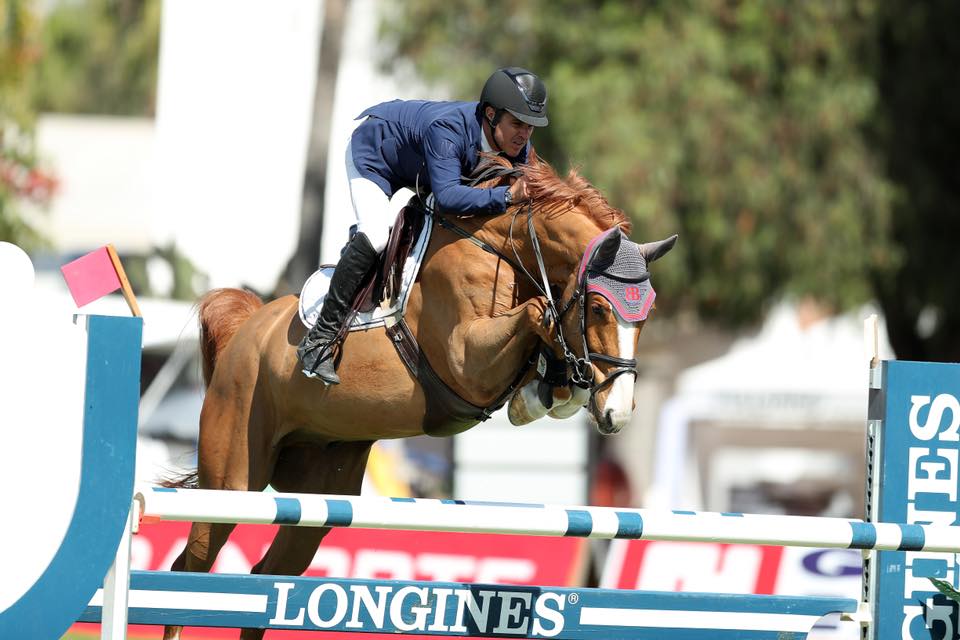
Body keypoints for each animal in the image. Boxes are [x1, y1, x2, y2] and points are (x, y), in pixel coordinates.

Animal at [161, 156, 676, 640]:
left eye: (646, 316)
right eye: (598, 308)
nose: (617, 414)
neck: (503, 246)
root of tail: (244, 333)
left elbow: (547, 347)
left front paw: (548, 391)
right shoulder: (466, 360)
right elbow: (537, 315)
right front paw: (545, 384)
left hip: (319, 496)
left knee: (268, 582)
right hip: (233, 482)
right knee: (190, 569)